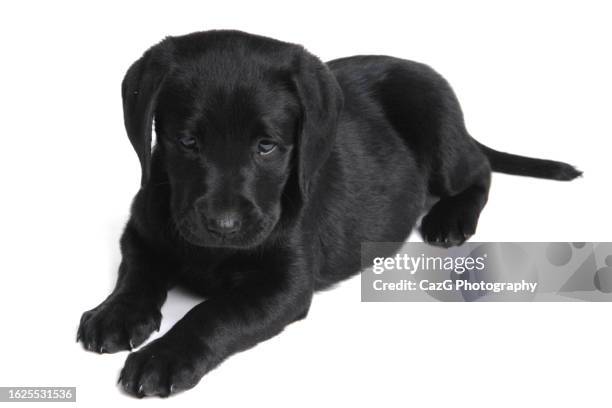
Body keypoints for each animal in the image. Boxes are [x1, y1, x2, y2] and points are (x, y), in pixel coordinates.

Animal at [79, 30, 580, 396]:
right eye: (187, 142)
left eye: (267, 146)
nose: (223, 226)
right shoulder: (141, 229)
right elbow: (136, 273)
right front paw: (116, 314)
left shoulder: (283, 284)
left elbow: (213, 313)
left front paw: (163, 357)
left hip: (435, 118)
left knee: (479, 171)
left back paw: (449, 219)